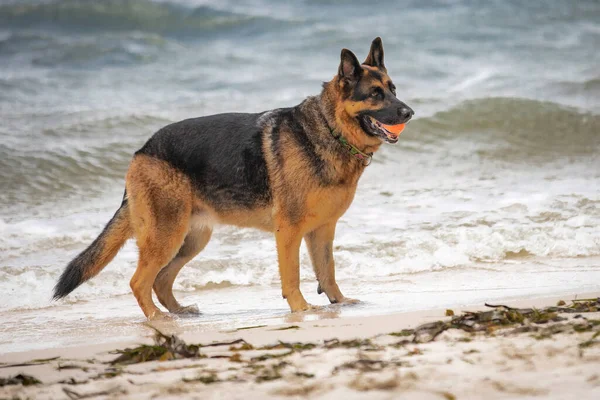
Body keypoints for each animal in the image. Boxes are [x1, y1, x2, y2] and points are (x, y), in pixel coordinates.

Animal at [54, 37, 414, 318]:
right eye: (375, 94)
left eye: (393, 89)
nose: (409, 113)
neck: (330, 129)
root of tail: (142, 150)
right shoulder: (289, 232)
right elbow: (293, 276)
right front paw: (301, 309)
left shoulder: (322, 231)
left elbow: (328, 271)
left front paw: (339, 303)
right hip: (167, 235)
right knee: (140, 280)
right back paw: (158, 318)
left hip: (191, 239)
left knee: (161, 279)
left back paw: (179, 312)